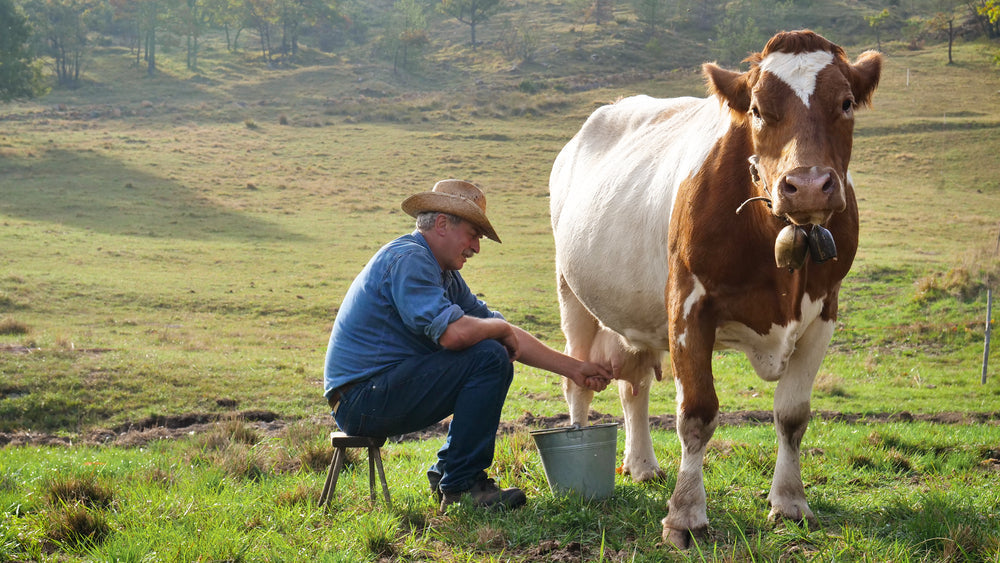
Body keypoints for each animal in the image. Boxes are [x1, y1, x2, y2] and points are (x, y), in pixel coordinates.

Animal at [549, 30, 882, 547]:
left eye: (846, 103)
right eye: (758, 110)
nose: (807, 186)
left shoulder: (824, 312)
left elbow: (792, 414)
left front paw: (790, 503)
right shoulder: (688, 307)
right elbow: (697, 413)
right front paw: (685, 515)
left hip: (636, 316)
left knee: (634, 385)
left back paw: (642, 465)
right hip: (574, 300)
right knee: (578, 382)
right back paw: (582, 458)